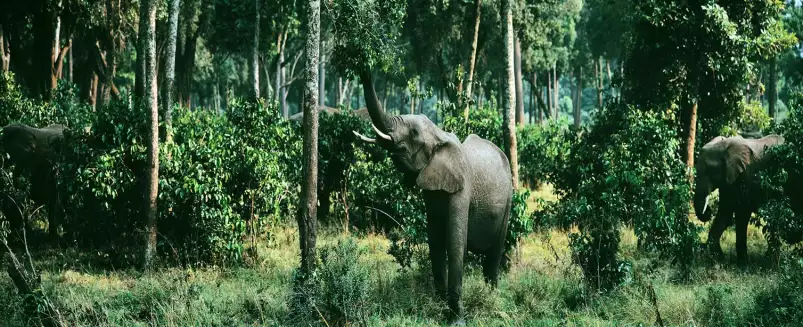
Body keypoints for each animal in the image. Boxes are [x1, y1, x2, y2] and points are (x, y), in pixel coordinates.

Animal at [354, 71, 516, 326]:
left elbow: (455, 243)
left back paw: (493, 301)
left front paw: (456, 321)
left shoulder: (462, 188)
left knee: (494, 255)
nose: (365, 68)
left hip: (509, 198)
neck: (440, 135)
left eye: (414, 133)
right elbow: (435, 240)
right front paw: (438, 309)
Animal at [696, 135, 784, 268]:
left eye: (710, 170)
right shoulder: (729, 180)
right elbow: (724, 214)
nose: (708, 211)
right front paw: (720, 261)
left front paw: (743, 265)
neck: (726, 146)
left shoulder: (745, 175)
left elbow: (742, 214)